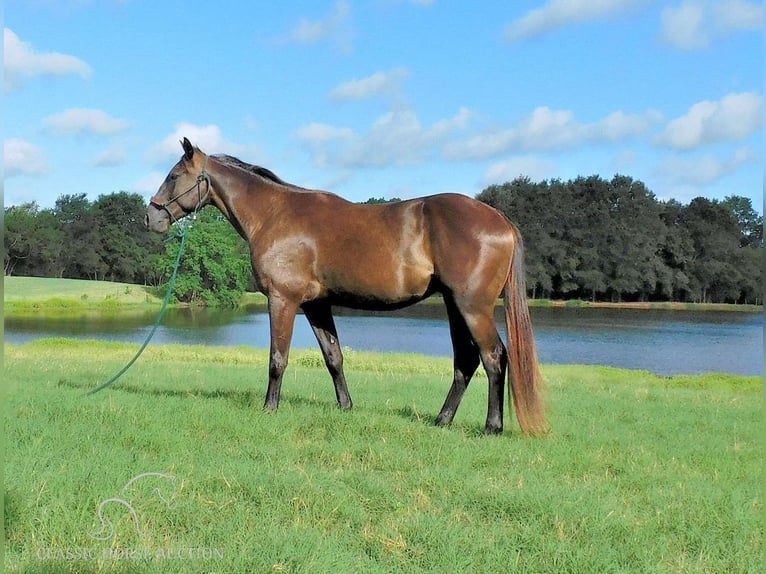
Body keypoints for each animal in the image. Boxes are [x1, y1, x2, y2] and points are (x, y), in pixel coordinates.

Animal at [147, 138, 548, 436]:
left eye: (174, 175)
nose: (150, 217)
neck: (274, 215)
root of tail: (500, 220)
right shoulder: (316, 305)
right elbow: (333, 357)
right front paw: (346, 406)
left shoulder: (283, 300)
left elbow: (278, 358)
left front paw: (269, 408)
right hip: (454, 305)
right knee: (465, 360)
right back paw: (442, 420)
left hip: (472, 306)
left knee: (494, 356)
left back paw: (492, 427)